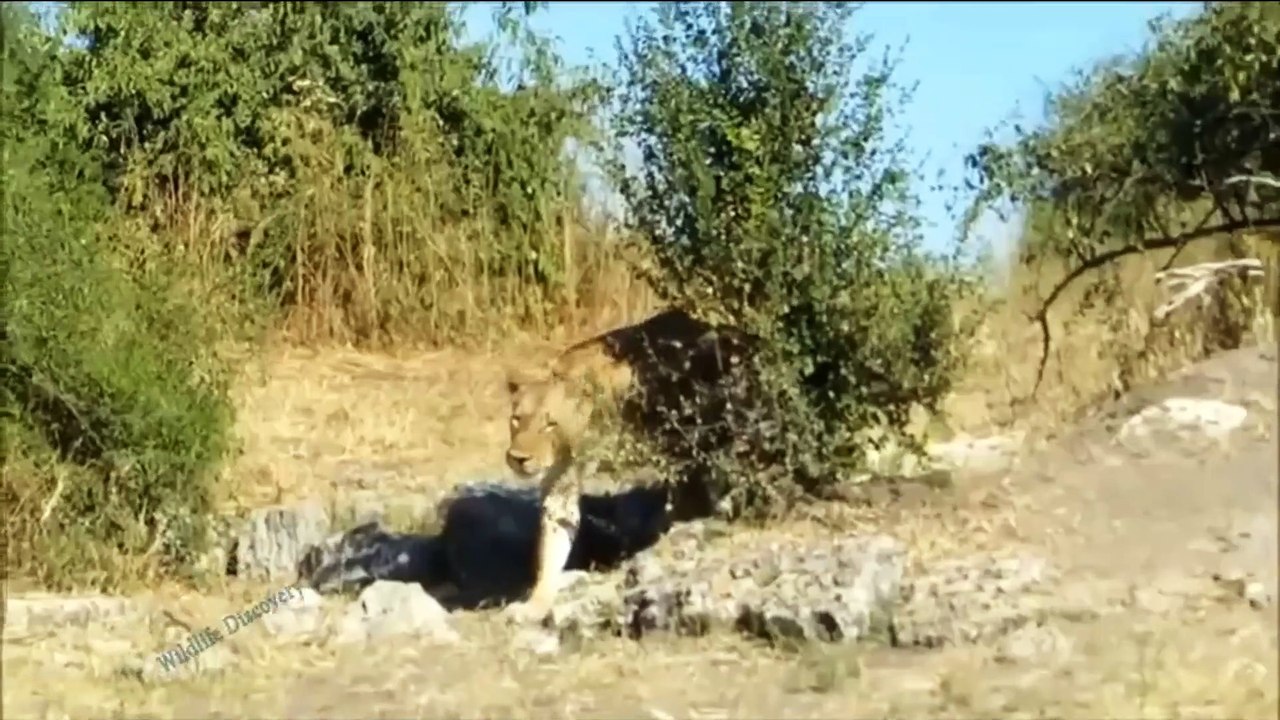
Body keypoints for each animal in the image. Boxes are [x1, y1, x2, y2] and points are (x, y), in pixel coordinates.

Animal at [500, 308, 752, 622]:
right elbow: (552, 547)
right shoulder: (562, 481)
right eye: (516, 419)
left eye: (550, 424)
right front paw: (536, 604)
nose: (519, 457)